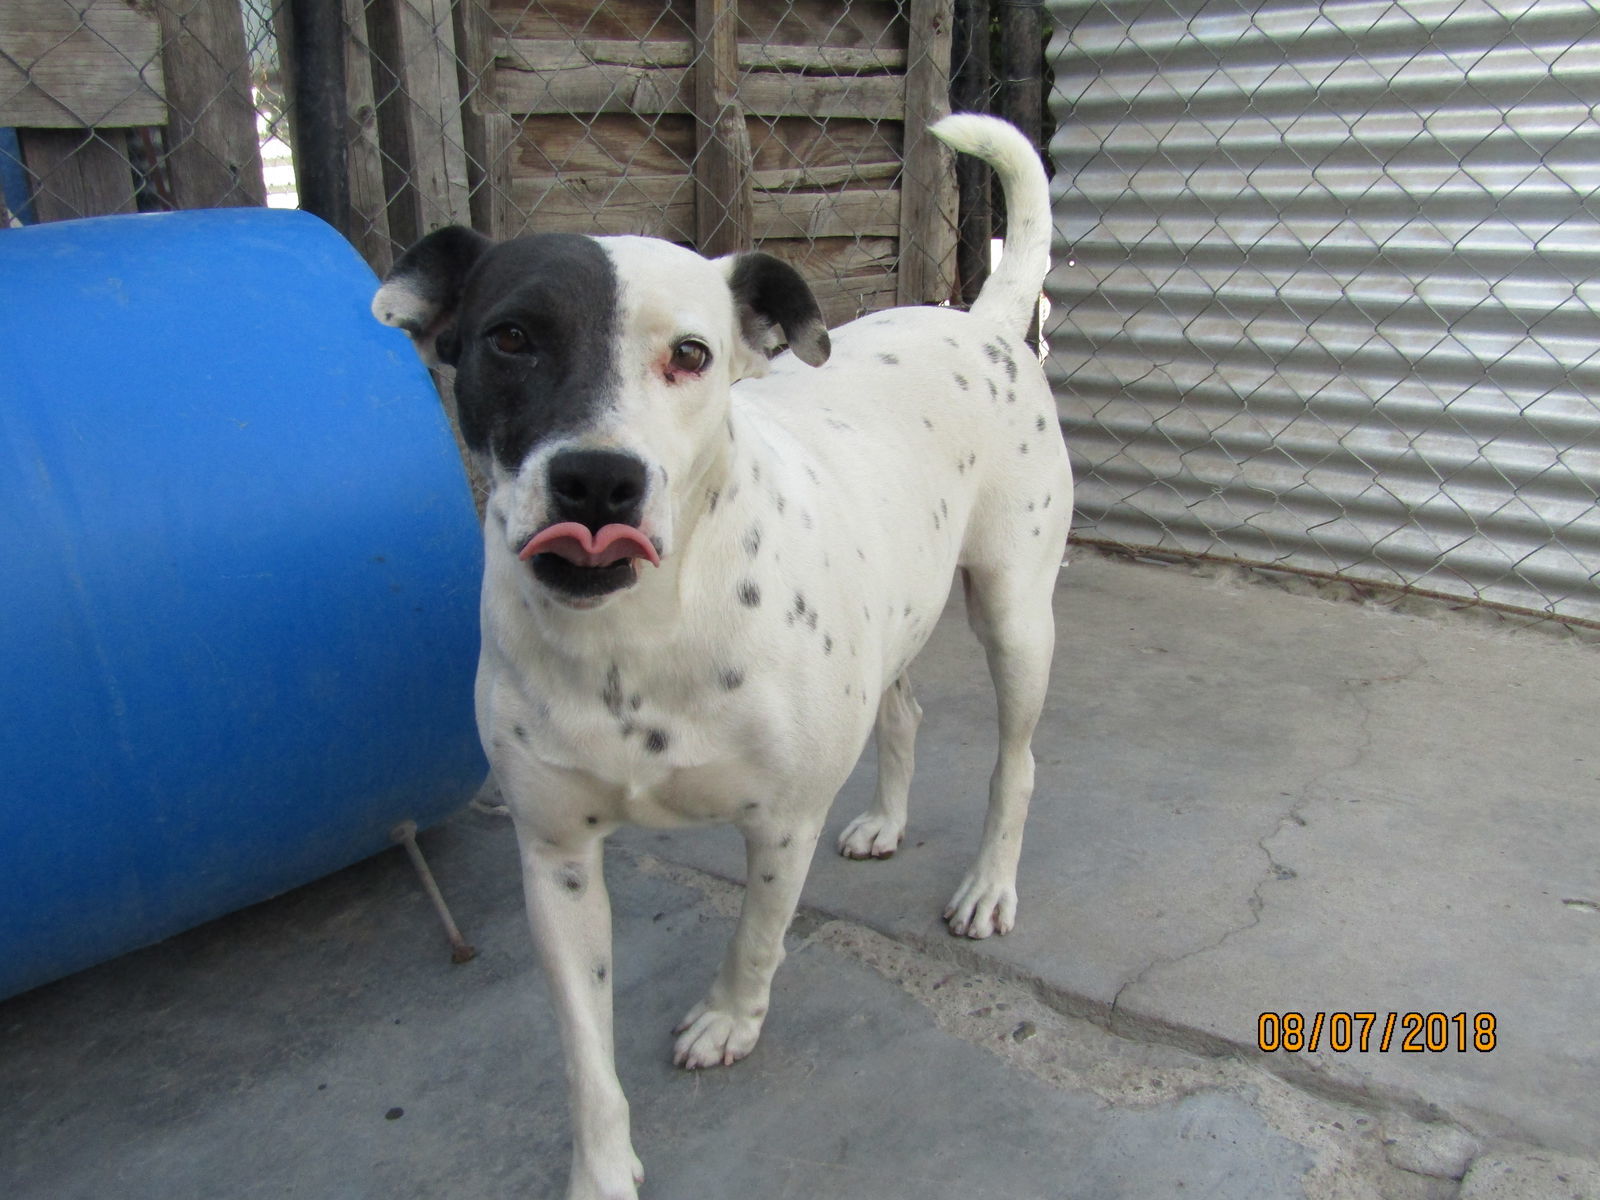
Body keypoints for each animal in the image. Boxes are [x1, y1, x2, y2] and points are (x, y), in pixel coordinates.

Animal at [374, 115, 1068, 1200]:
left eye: (691, 355)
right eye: (511, 337)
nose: (598, 481)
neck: (634, 635)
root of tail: (982, 320)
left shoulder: (780, 822)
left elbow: (756, 934)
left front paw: (728, 1020)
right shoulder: (556, 859)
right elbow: (583, 1050)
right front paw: (601, 1168)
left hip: (1013, 611)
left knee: (1017, 763)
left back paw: (988, 886)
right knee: (903, 709)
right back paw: (885, 818)